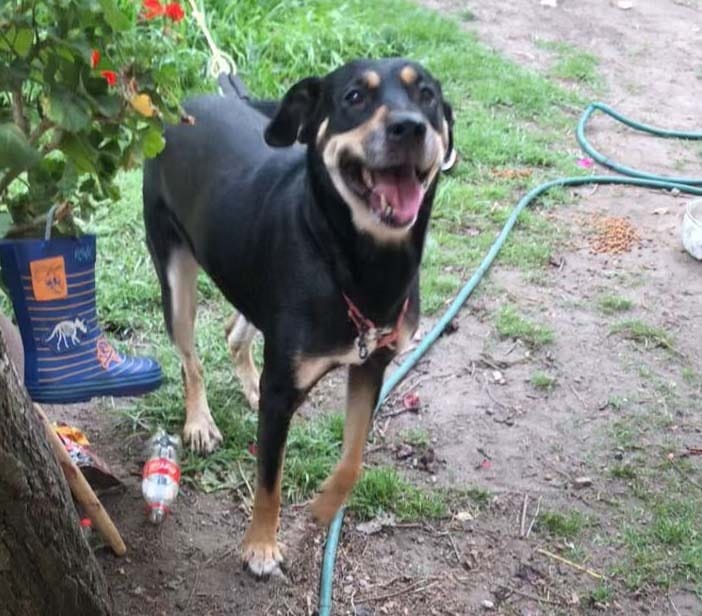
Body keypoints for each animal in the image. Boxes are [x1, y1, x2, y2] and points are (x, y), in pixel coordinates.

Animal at [143, 57, 456, 576]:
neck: (361, 264)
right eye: (354, 97)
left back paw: (248, 385)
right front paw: (261, 546)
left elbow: (353, 459)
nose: (409, 127)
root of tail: (187, 102)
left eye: (427, 95)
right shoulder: (283, 393)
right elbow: (269, 479)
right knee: (190, 358)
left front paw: (325, 509)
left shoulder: (373, 364)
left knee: (235, 332)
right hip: (175, 274)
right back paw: (200, 422)